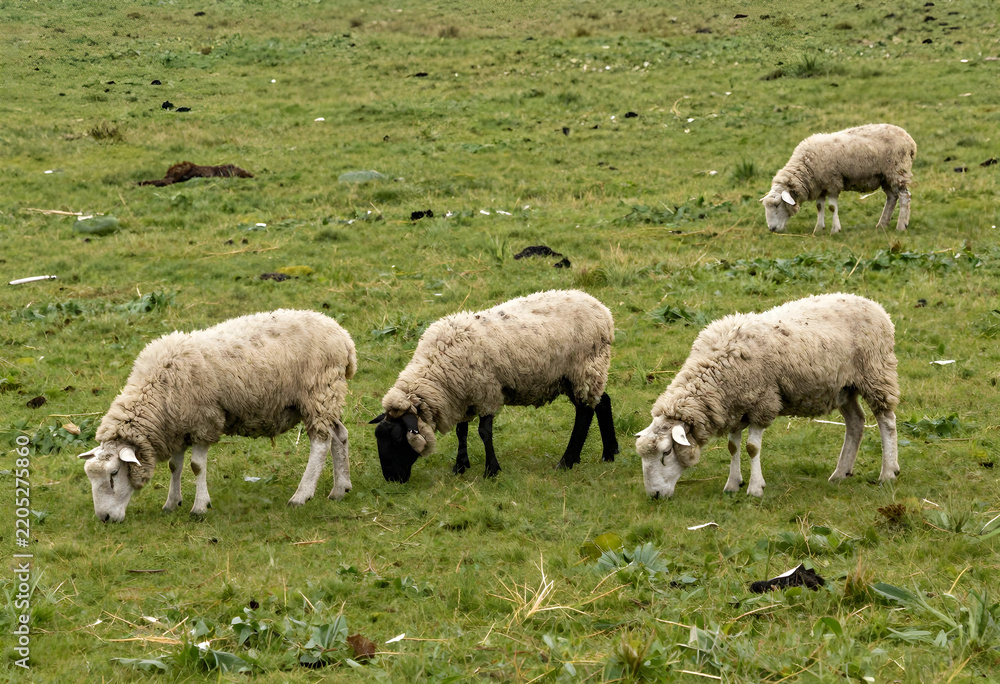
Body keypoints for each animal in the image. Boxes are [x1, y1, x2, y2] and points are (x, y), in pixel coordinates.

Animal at [78, 309, 356, 522]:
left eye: (114, 474)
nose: (104, 518)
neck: (157, 390)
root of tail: (343, 336)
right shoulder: (177, 427)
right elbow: (174, 466)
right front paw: (172, 503)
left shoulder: (204, 422)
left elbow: (196, 466)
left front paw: (200, 507)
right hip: (326, 396)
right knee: (339, 434)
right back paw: (340, 489)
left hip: (317, 391)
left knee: (320, 442)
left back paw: (301, 495)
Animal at [370, 289, 619, 483]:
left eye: (398, 439)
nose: (391, 479)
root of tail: (603, 310)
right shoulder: (463, 396)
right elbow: (461, 431)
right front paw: (460, 466)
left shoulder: (486, 392)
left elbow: (484, 432)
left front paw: (491, 470)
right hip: (576, 376)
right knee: (601, 402)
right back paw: (609, 452)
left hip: (584, 368)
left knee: (585, 413)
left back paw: (566, 461)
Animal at [635, 293, 900, 499]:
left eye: (666, 453)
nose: (654, 495)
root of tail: (873, 304)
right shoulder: (736, 406)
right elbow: (733, 446)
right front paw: (732, 485)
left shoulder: (762, 402)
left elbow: (752, 448)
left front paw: (755, 488)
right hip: (843, 387)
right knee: (855, 422)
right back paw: (840, 473)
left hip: (875, 372)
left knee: (886, 421)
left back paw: (888, 472)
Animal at [762, 123, 916, 234]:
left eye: (777, 205)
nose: (772, 229)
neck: (806, 166)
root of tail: (910, 140)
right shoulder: (821, 187)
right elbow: (819, 207)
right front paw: (819, 228)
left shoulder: (832, 183)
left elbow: (831, 207)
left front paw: (835, 229)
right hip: (885, 177)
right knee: (892, 197)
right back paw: (882, 224)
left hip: (897, 171)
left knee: (904, 197)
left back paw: (901, 226)